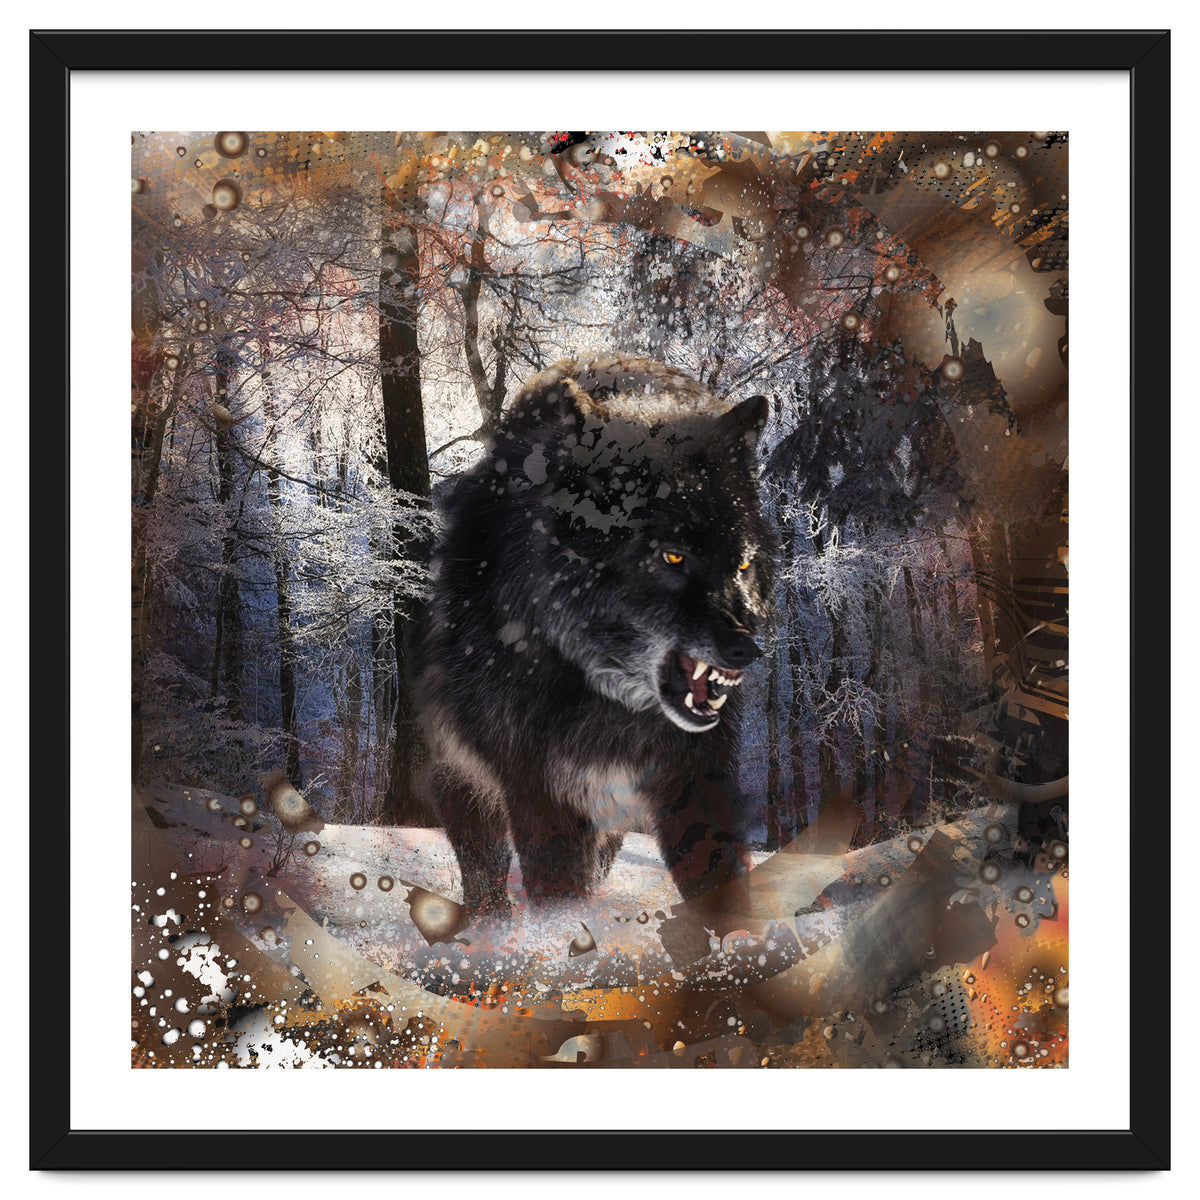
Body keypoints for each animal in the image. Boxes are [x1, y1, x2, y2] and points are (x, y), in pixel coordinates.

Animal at [410, 355, 776, 915]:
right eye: (673, 556)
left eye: (741, 564)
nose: (746, 650)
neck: (613, 702)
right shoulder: (541, 792)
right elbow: (557, 895)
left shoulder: (694, 779)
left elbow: (722, 887)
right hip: (465, 785)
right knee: (485, 877)